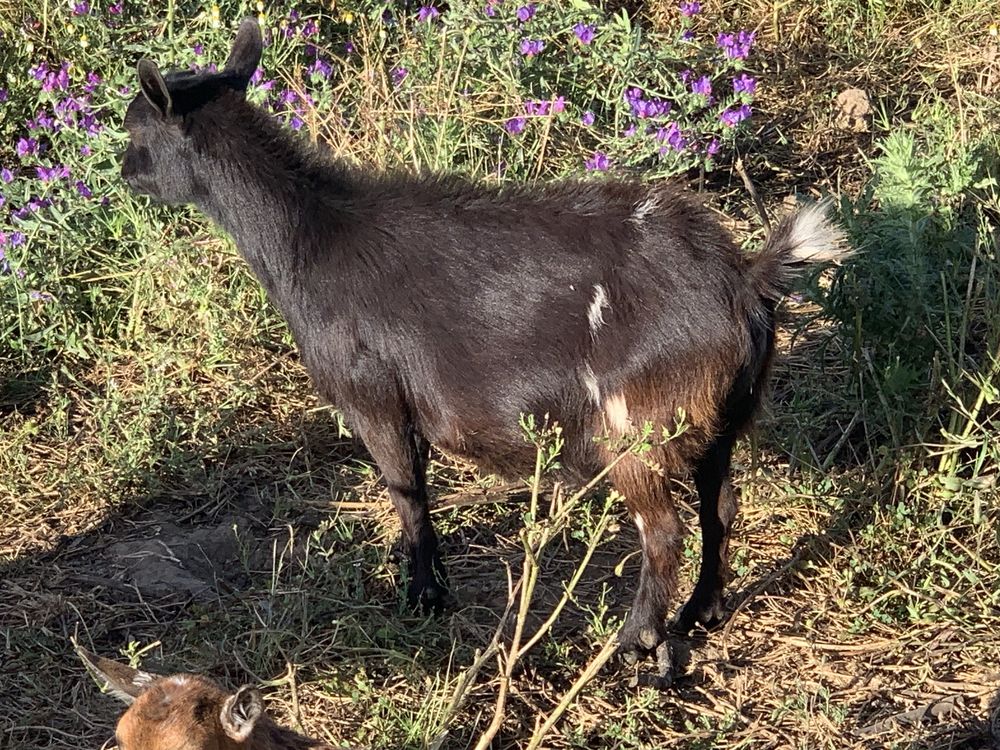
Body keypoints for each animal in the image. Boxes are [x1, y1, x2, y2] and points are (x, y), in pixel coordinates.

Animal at [121, 19, 848, 676]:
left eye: (134, 128)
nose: (123, 173)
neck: (313, 237)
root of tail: (744, 282)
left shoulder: (373, 397)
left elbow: (407, 493)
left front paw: (422, 597)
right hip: (728, 412)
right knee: (720, 505)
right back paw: (702, 611)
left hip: (636, 420)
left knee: (663, 527)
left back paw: (635, 640)